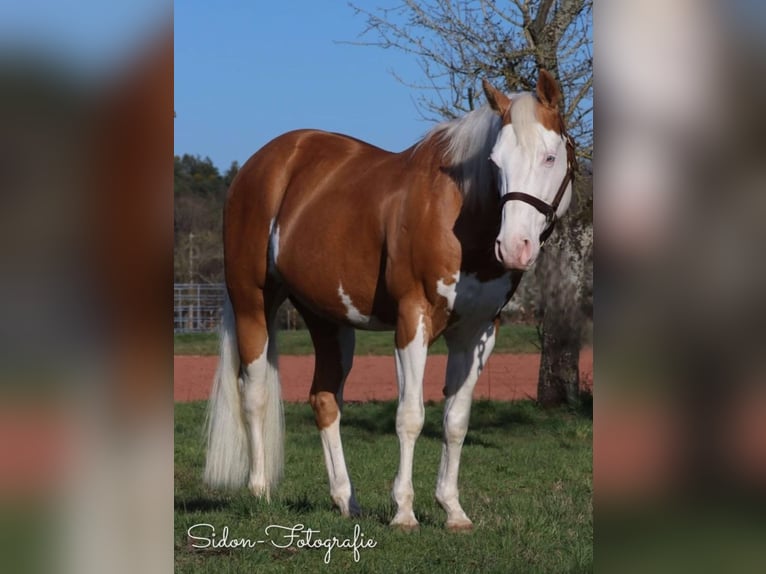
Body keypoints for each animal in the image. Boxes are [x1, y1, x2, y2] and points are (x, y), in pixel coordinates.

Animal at [204, 69, 575, 531]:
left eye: (549, 157)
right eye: (495, 162)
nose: (513, 246)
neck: (458, 214)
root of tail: (262, 165)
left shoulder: (477, 332)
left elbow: (456, 420)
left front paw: (453, 510)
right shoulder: (412, 320)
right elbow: (410, 417)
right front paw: (403, 511)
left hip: (327, 319)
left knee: (324, 399)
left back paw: (346, 500)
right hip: (252, 303)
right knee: (253, 393)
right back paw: (259, 491)